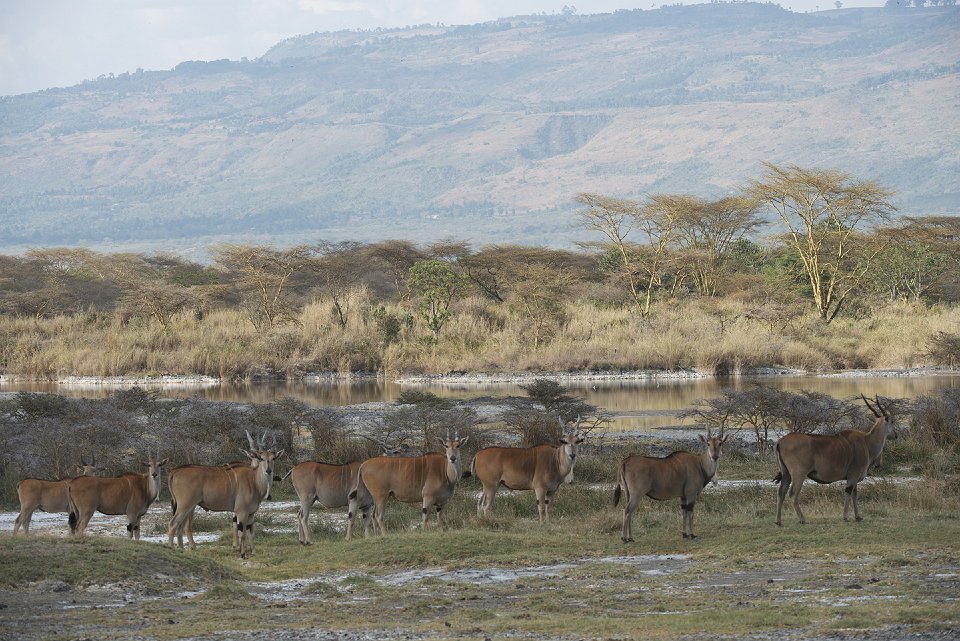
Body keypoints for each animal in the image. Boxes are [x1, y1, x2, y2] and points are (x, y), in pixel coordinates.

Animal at [774, 395, 897, 526]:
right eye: (892, 421)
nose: (896, 435)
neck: (866, 442)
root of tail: (780, 441)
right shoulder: (853, 476)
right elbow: (848, 492)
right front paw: (845, 517)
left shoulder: (854, 478)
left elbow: (854, 494)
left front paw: (858, 517)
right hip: (799, 474)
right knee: (792, 494)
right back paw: (802, 519)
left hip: (786, 474)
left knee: (781, 492)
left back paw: (778, 521)